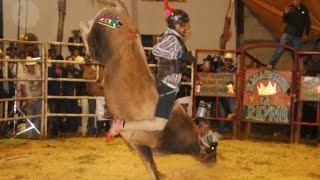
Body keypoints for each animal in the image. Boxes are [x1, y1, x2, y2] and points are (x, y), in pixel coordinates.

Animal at [81, 1, 218, 179]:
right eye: (212, 148)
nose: (215, 162)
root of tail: (122, 10)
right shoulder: (142, 144)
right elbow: (152, 167)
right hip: (100, 47)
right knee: (89, 41)